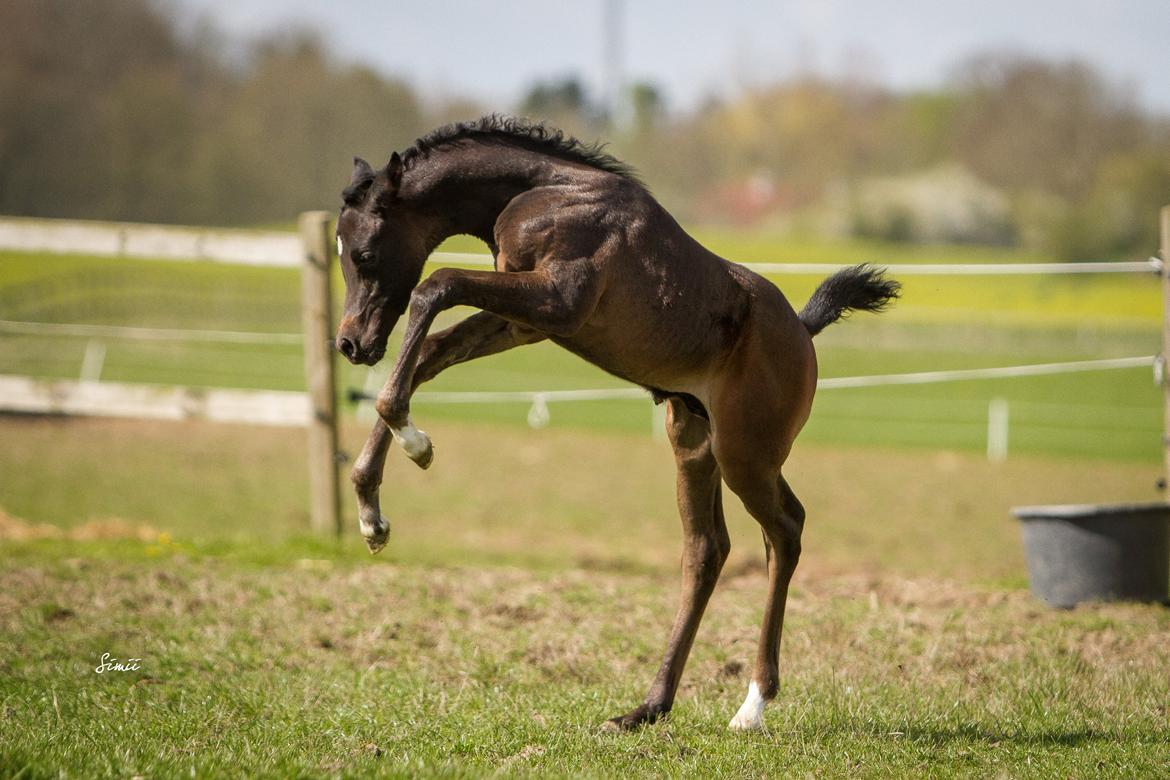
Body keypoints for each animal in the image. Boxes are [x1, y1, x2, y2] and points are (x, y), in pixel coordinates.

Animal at [334, 115, 898, 734]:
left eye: (363, 253)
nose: (351, 343)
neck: (546, 191)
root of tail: (802, 329)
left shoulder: (559, 301)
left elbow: (436, 286)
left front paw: (413, 444)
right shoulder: (527, 323)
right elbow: (432, 349)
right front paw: (370, 511)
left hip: (745, 453)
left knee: (785, 532)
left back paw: (752, 705)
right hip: (693, 445)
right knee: (707, 550)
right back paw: (647, 707)